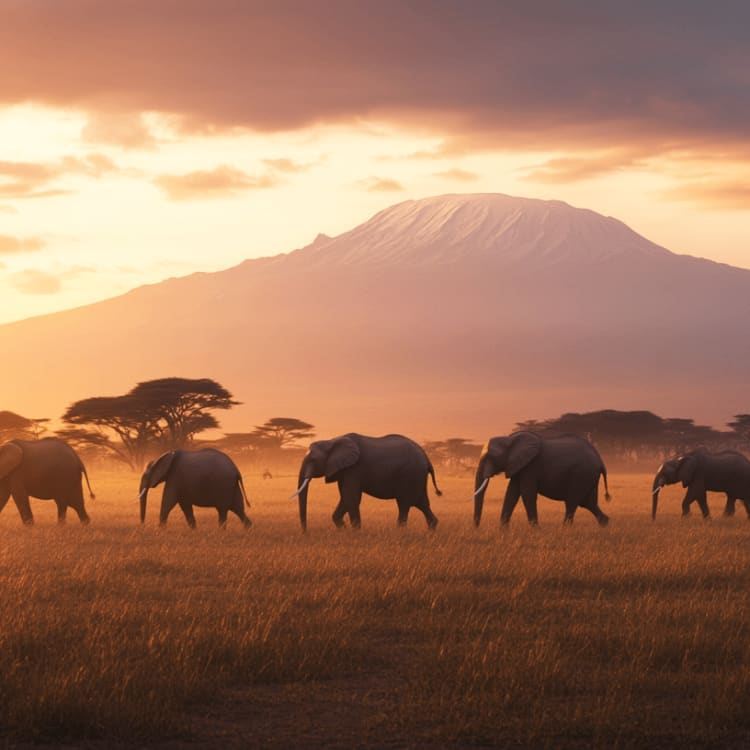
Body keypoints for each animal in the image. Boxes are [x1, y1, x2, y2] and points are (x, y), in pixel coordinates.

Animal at [291, 433, 442, 531]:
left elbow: (351, 498)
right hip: (417, 476)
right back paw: (431, 530)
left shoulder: (354, 469)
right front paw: (344, 529)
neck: (332, 441)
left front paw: (356, 533)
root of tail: (427, 458)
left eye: (313, 460)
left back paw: (400, 531)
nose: (305, 533)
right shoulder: (343, 470)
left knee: (405, 504)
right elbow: (345, 498)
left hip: (411, 474)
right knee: (421, 503)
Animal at [473, 431, 611, 527]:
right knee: (588, 503)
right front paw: (503, 530)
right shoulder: (519, 466)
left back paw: (564, 529)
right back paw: (605, 525)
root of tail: (601, 461)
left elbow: (527, 494)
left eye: (491, 457)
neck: (510, 439)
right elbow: (511, 493)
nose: (477, 528)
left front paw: (536, 530)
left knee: (572, 501)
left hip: (581, 474)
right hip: (588, 476)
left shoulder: (530, 467)